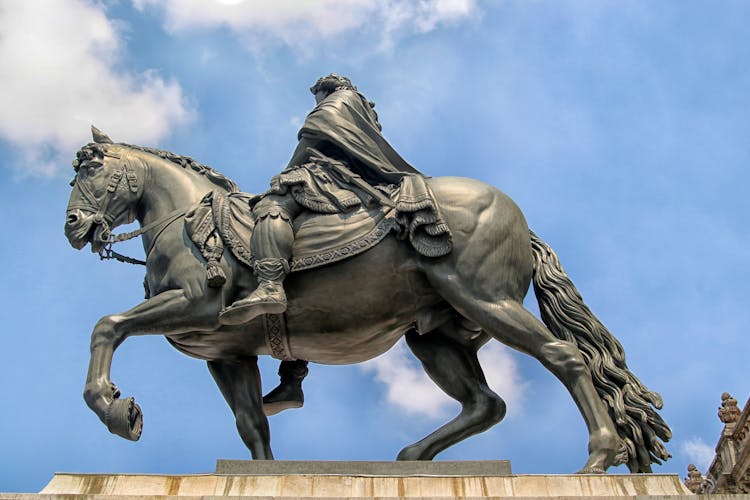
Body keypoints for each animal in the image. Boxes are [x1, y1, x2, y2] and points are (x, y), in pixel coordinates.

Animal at [64, 128, 672, 472]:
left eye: (93, 168)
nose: (72, 225)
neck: (190, 225)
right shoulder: (227, 352)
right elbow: (251, 424)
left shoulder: (198, 306)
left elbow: (106, 325)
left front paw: (117, 410)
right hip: (436, 337)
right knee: (486, 403)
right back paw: (412, 459)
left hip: (487, 302)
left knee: (565, 359)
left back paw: (599, 456)